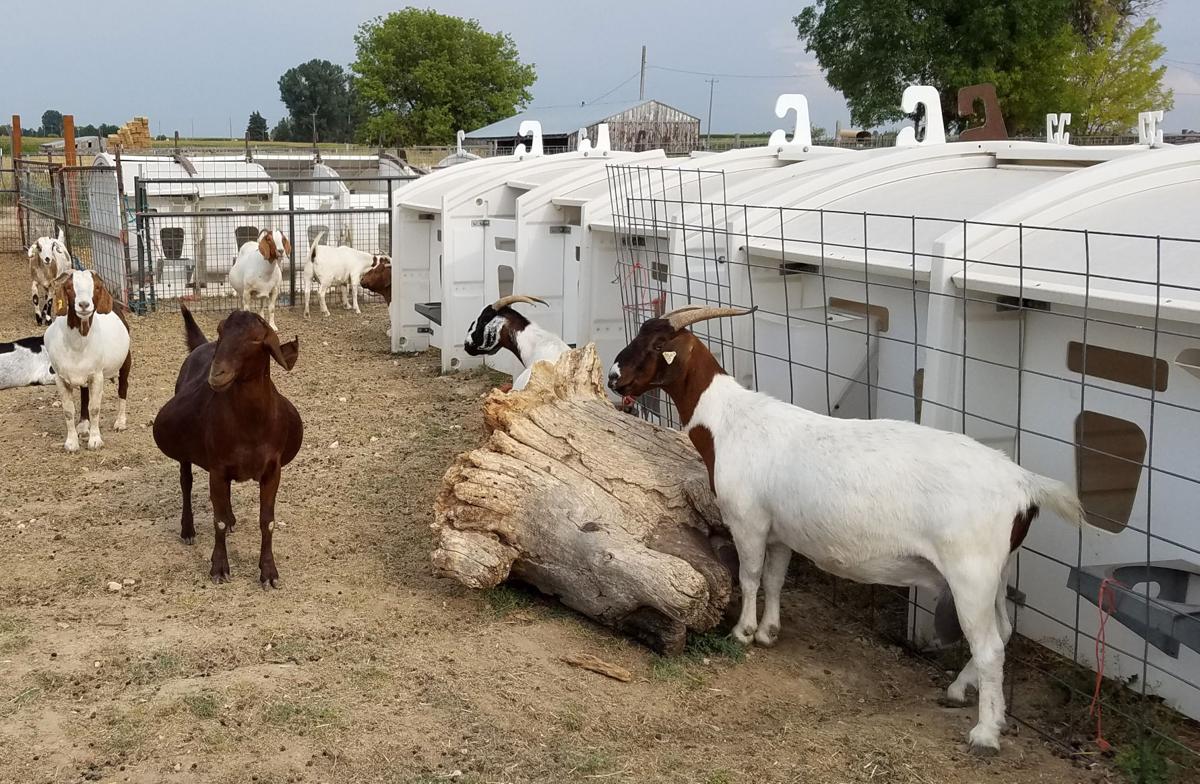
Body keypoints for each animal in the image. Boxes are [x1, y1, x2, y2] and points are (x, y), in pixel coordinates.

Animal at [44, 271, 132, 452]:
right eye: (69, 287)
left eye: (97, 287)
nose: (84, 305)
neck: (78, 346)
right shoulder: (60, 378)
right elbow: (68, 410)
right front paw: (71, 443)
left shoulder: (97, 375)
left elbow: (95, 408)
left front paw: (95, 441)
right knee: (84, 394)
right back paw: (84, 425)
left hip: (126, 359)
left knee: (123, 388)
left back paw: (120, 422)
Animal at [152, 306, 301, 587]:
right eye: (221, 331)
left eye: (256, 340)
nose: (217, 374)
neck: (251, 426)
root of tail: (201, 345)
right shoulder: (217, 467)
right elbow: (217, 521)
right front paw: (219, 567)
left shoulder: (272, 470)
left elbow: (267, 522)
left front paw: (268, 572)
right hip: (185, 451)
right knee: (186, 481)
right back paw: (187, 529)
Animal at [607, 304, 1104, 755]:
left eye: (657, 343)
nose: (614, 379)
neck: (730, 421)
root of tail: (1024, 484)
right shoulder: (781, 531)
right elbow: (774, 579)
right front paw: (769, 632)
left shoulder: (747, 519)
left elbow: (748, 577)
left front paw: (743, 632)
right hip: (998, 570)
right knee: (1003, 630)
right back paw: (967, 697)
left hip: (971, 571)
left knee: (989, 646)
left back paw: (984, 734)